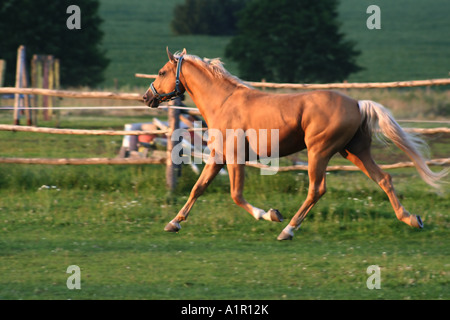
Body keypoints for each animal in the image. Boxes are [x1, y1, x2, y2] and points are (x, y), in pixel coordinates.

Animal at [142, 48, 444, 240]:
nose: (147, 97)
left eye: (161, 71)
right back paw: (411, 219)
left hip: (319, 151)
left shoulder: (235, 158)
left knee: (317, 189)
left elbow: (236, 195)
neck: (224, 102)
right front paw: (173, 223)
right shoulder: (218, 158)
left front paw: (271, 214)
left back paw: (287, 229)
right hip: (354, 151)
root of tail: (357, 103)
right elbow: (198, 188)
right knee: (384, 178)